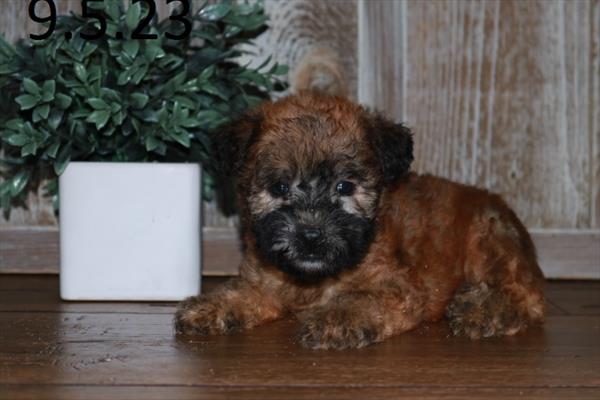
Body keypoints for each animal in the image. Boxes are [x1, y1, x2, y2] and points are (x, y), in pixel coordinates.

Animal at [173, 92, 544, 348]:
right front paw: (210, 306)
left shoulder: (399, 288)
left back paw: (481, 309)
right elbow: (242, 292)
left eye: (345, 187)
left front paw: (334, 319)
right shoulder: (264, 278)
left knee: (526, 296)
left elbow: (360, 299)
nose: (310, 236)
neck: (311, 282)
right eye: (279, 187)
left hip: (489, 238)